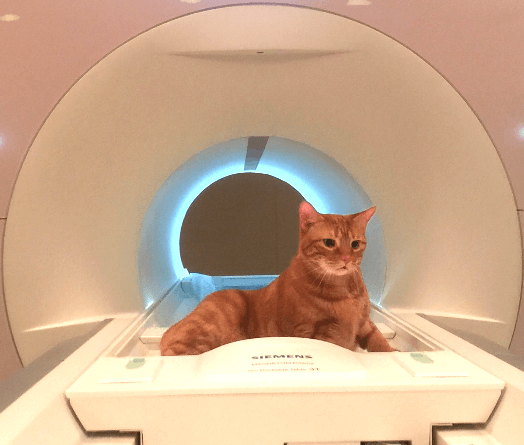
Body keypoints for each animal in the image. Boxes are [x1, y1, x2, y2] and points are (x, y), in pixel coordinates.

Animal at [160, 203, 392, 356]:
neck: (344, 288)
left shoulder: (365, 324)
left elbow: (380, 343)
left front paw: (392, 351)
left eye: (355, 244)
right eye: (329, 242)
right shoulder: (315, 333)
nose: (346, 259)